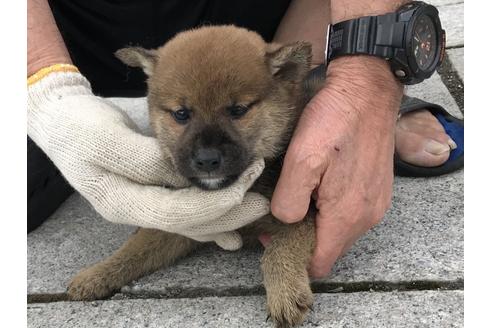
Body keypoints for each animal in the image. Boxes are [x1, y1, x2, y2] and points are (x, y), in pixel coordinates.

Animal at [66, 26, 326, 328]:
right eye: (181, 114)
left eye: (238, 110)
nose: (207, 160)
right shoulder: (187, 226)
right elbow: (134, 249)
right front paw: (95, 275)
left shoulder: (300, 213)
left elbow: (277, 251)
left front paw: (285, 294)